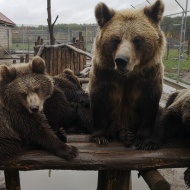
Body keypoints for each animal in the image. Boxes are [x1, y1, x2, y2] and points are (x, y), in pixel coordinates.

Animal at [88, 0, 166, 147]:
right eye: (116, 39)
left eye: (137, 39)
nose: (121, 60)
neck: (128, 75)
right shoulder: (104, 74)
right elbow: (99, 100)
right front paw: (100, 136)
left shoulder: (149, 76)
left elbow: (149, 104)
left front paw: (142, 139)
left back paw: (133, 136)